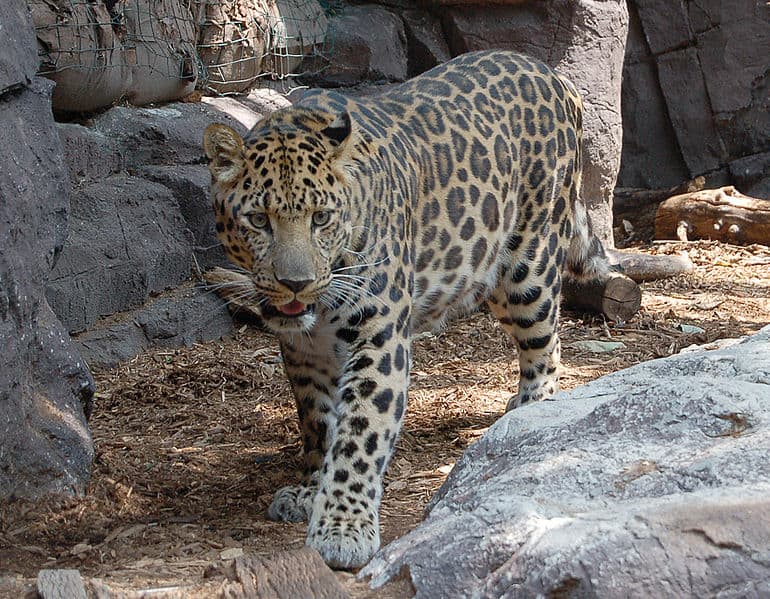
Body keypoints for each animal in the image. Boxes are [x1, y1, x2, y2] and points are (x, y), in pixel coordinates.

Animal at [202, 49, 608, 568]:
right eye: (258, 220)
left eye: (321, 218)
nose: (296, 285)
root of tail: (550, 72)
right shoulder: (304, 352)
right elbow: (318, 421)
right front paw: (311, 490)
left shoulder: (380, 333)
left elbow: (360, 431)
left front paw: (343, 528)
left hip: (527, 266)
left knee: (547, 341)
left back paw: (531, 411)